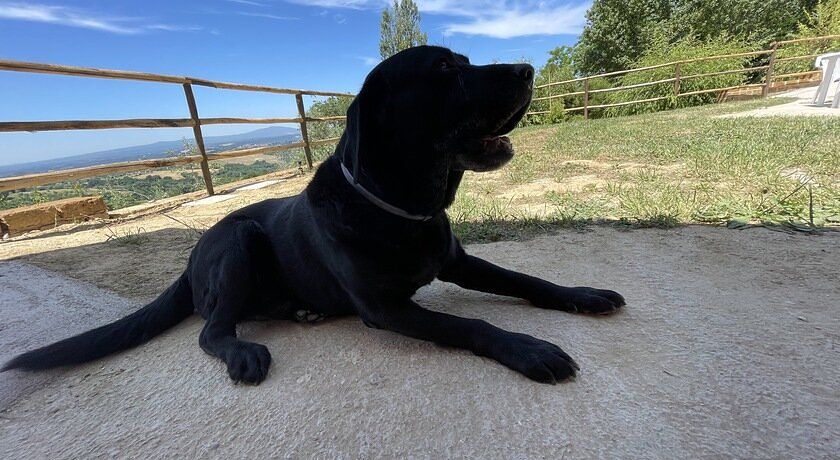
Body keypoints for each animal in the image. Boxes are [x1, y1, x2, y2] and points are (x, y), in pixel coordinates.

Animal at [1, 46, 624, 384]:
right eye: (446, 68)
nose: (526, 69)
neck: (403, 207)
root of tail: (190, 257)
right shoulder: (385, 308)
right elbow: (470, 325)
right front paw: (531, 350)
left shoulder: (458, 262)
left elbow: (526, 279)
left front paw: (584, 295)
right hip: (241, 240)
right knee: (210, 330)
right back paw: (243, 351)